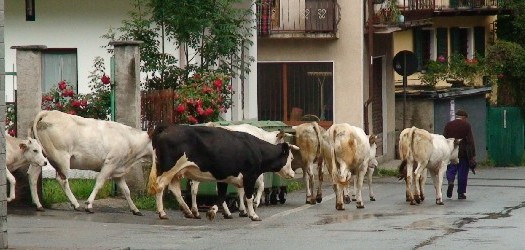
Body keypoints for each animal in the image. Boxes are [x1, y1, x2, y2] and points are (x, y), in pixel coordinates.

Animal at [146, 124, 298, 221]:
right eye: (291, 158)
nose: (293, 174)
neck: (256, 149)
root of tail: (167, 128)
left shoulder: (225, 177)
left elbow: (221, 195)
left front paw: (213, 211)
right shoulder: (250, 176)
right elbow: (249, 196)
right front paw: (253, 213)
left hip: (176, 172)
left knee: (175, 189)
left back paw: (189, 212)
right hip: (168, 169)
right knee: (160, 187)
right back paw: (162, 213)